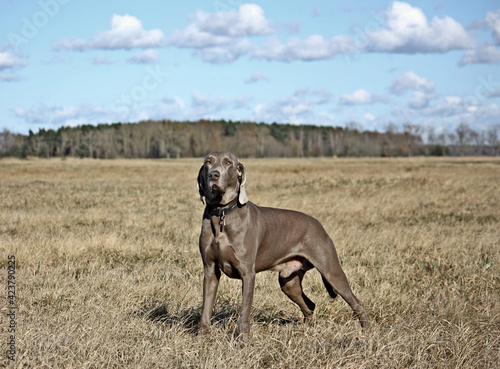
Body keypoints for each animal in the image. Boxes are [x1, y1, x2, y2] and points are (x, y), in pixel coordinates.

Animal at [197, 150, 370, 336]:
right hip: (288, 281)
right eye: (208, 162)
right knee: (309, 305)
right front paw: (202, 335)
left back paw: (366, 330)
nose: (214, 174)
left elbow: (244, 311)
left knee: (356, 302)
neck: (221, 214)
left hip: (331, 271)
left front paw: (243, 338)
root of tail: (319, 225)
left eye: (228, 162)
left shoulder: (247, 273)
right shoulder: (210, 270)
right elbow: (206, 306)